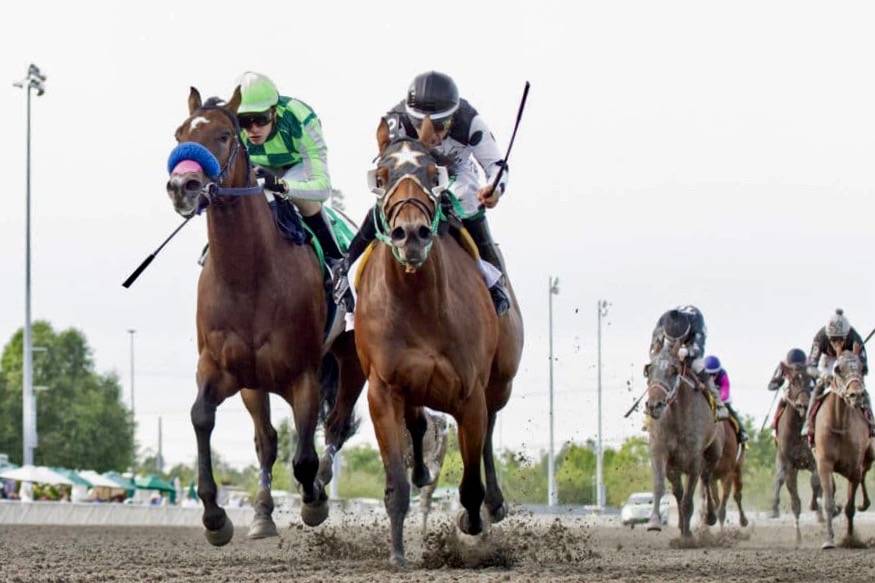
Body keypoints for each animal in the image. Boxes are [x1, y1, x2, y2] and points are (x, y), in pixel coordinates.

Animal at [165, 85, 366, 548]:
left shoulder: (304, 373)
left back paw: (321, 485)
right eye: (180, 133)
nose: (182, 185)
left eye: (224, 135)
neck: (249, 276)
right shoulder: (220, 367)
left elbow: (304, 457)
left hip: (351, 360)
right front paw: (215, 517)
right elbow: (202, 417)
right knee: (267, 441)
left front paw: (314, 502)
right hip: (254, 383)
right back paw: (262, 514)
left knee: (334, 427)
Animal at [354, 117, 524, 564]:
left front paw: (473, 520)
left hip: (501, 381)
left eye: (434, 174)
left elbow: (470, 480)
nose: (410, 234)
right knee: (417, 422)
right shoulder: (382, 388)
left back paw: (494, 504)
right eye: (381, 177)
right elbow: (396, 481)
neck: (418, 305)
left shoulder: (470, 392)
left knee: (490, 427)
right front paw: (397, 553)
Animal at [644, 342, 724, 540]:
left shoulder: (694, 460)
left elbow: (689, 498)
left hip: (712, 454)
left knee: (706, 480)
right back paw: (681, 524)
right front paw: (654, 522)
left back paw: (709, 516)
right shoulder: (659, 451)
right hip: (675, 466)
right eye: (649, 370)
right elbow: (659, 485)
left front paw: (687, 536)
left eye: (673, 371)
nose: (654, 405)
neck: (677, 419)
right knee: (679, 491)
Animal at [772, 364, 820, 544]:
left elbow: (816, 481)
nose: (803, 405)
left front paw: (815, 504)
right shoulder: (788, 463)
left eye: (810, 382)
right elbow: (784, 484)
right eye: (792, 382)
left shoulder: (813, 459)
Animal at [812, 350, 872, 548]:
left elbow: (850, 507)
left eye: (862, 368)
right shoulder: (824, 463)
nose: (856, 395)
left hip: (869, 455)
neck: (839, 424)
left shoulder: (854, 467)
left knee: (865, 473)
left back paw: (865, 503)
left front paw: (850, 538)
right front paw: (829, 540)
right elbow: (828, 501)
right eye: (838, 369)